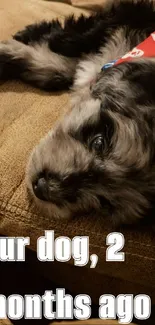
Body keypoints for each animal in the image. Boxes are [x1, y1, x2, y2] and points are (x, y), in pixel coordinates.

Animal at [0, 0, 155, 223]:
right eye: (99, 142)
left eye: (104, 203)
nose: (43, 188)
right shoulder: (130, 17)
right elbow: (65, 53)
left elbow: (58, 68)